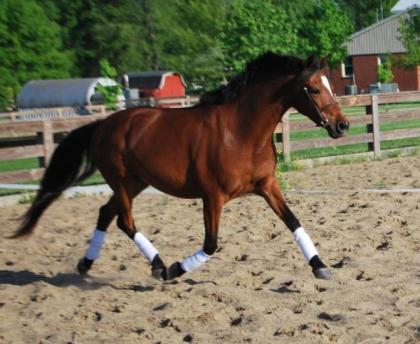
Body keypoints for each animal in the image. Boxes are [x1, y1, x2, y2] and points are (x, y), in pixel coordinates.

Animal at [11, 52, 350, 280]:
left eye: (330, 85)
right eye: (314, 89)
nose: (342, 125)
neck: (241, 133)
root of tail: (103, 124)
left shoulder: (267, 186)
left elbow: (293, 221)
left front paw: (320, 266)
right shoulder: (212, 197)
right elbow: (211, 244)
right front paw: (176, 269)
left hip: (135, 183)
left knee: (106, 214)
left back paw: (86, 264)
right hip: (121, 181)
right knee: (124, 222)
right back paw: (160, 266)